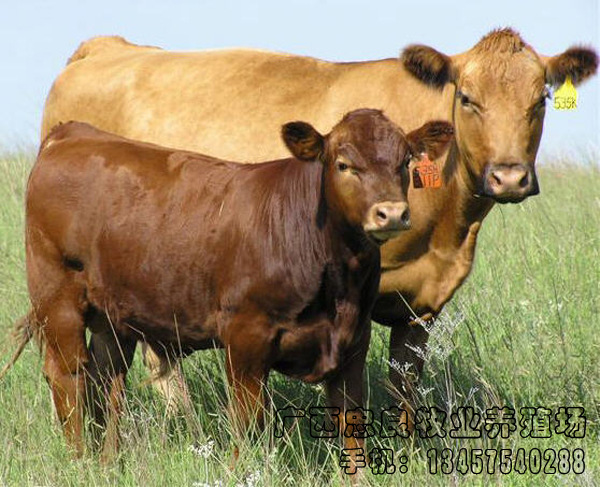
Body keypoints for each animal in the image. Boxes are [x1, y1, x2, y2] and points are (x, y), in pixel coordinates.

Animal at [39, 28, 596, 420]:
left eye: (541, 99)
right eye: (466, 98)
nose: (509, 176)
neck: (447, 236)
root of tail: (105, 47)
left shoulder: (422, 305)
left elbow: (405, 387)